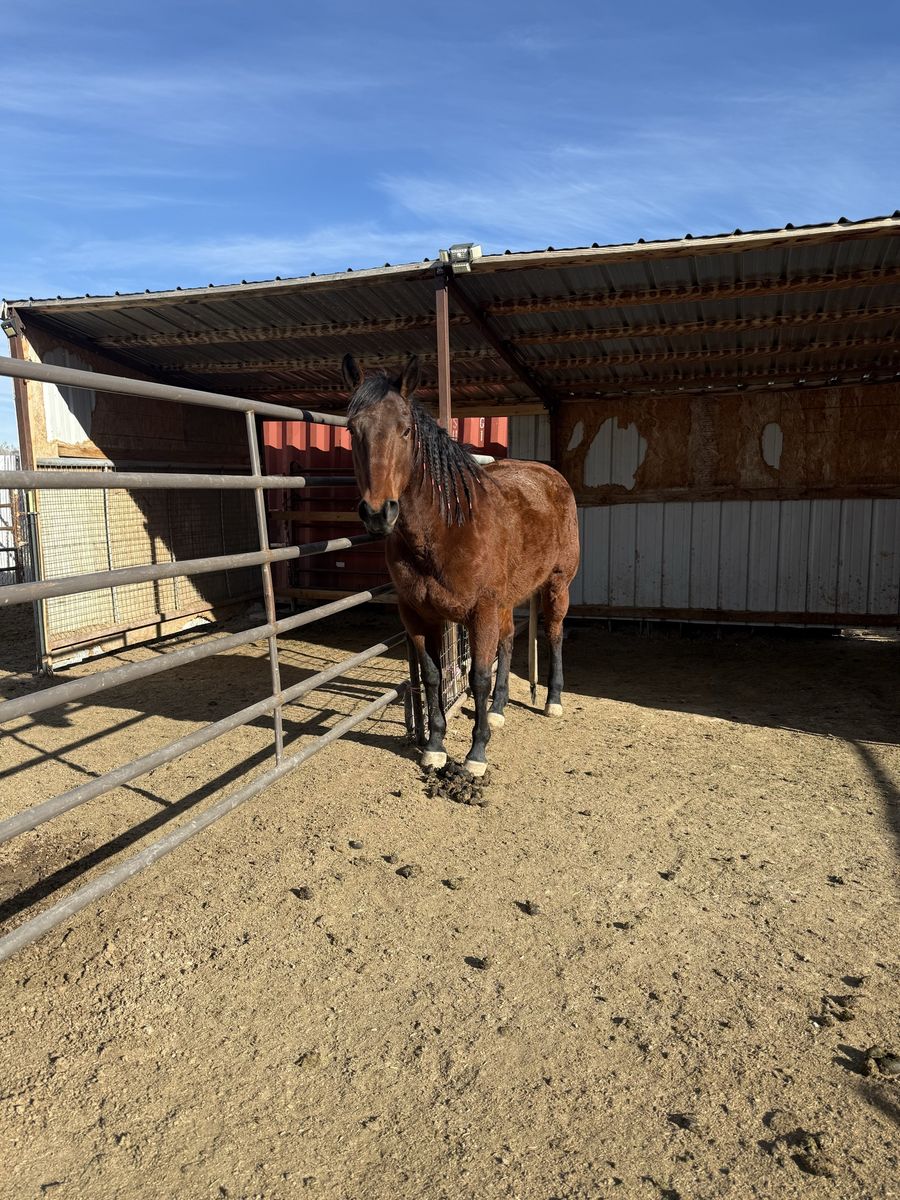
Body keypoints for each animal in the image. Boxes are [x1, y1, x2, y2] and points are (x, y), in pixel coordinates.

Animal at [343, 353, 580, 778]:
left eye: (406, 430)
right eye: (353, 430)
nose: (378, 513)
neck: (445, 529)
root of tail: (551, 475)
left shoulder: (480, 612)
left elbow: (478, 678)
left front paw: (476, 754)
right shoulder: (418, 615)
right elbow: (434, 676)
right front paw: (435, 746)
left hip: (557, 584)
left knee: (553, 633)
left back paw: (553, 700)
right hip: (507, 600)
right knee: (509, 639)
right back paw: (500, 710)